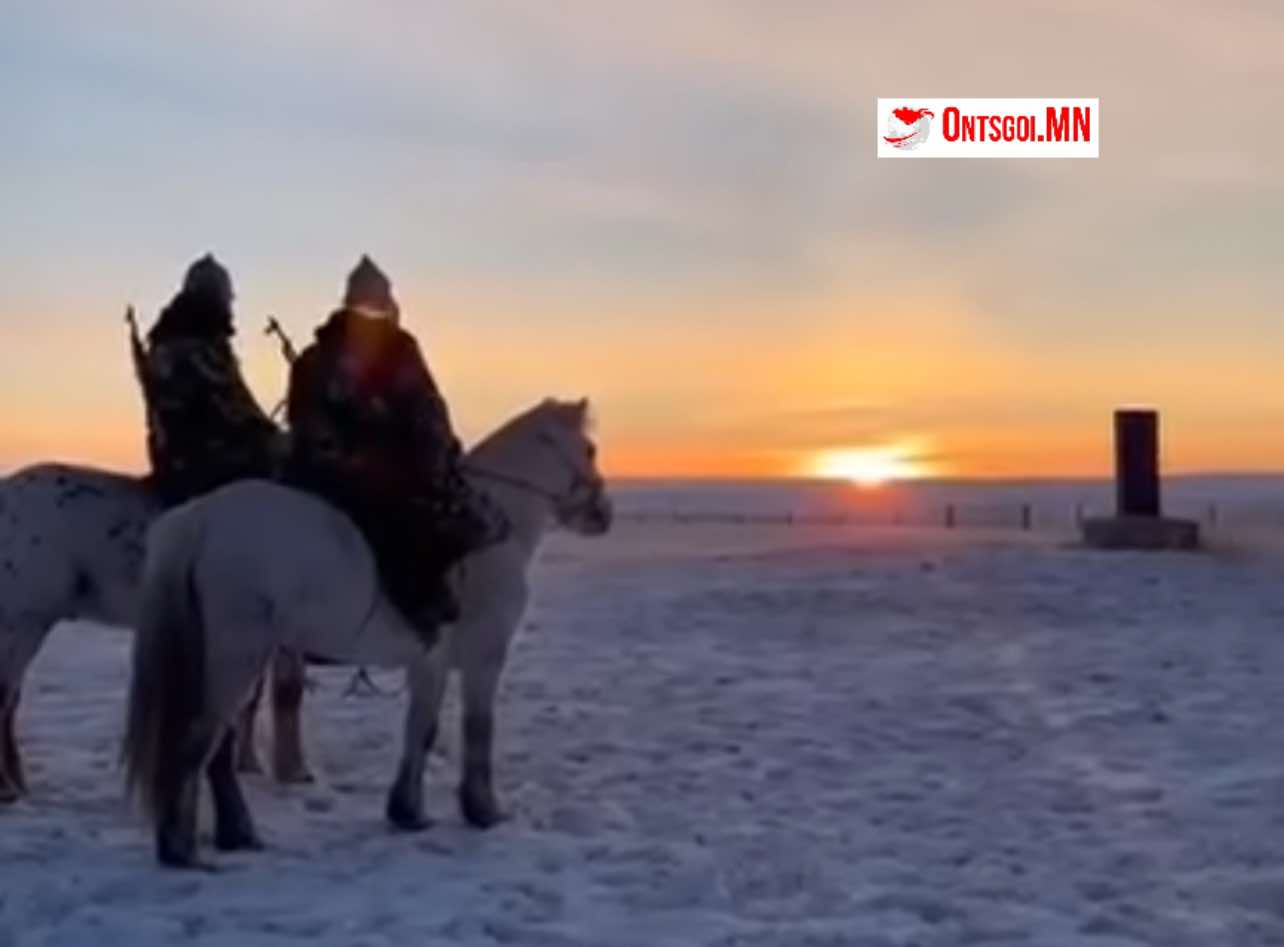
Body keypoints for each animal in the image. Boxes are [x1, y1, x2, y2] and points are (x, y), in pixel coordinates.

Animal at [122, 397, 608, 862]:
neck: (489, 536)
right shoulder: (481, 658)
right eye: (589, 449)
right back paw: (184, 850)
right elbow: (476, 730)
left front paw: (408, 813)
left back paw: (233, 837)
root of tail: (199, 517)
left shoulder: (431, 664)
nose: (603, 514)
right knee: (198, 741)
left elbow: (421, 730)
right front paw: (482, 812)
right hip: (235, 658)